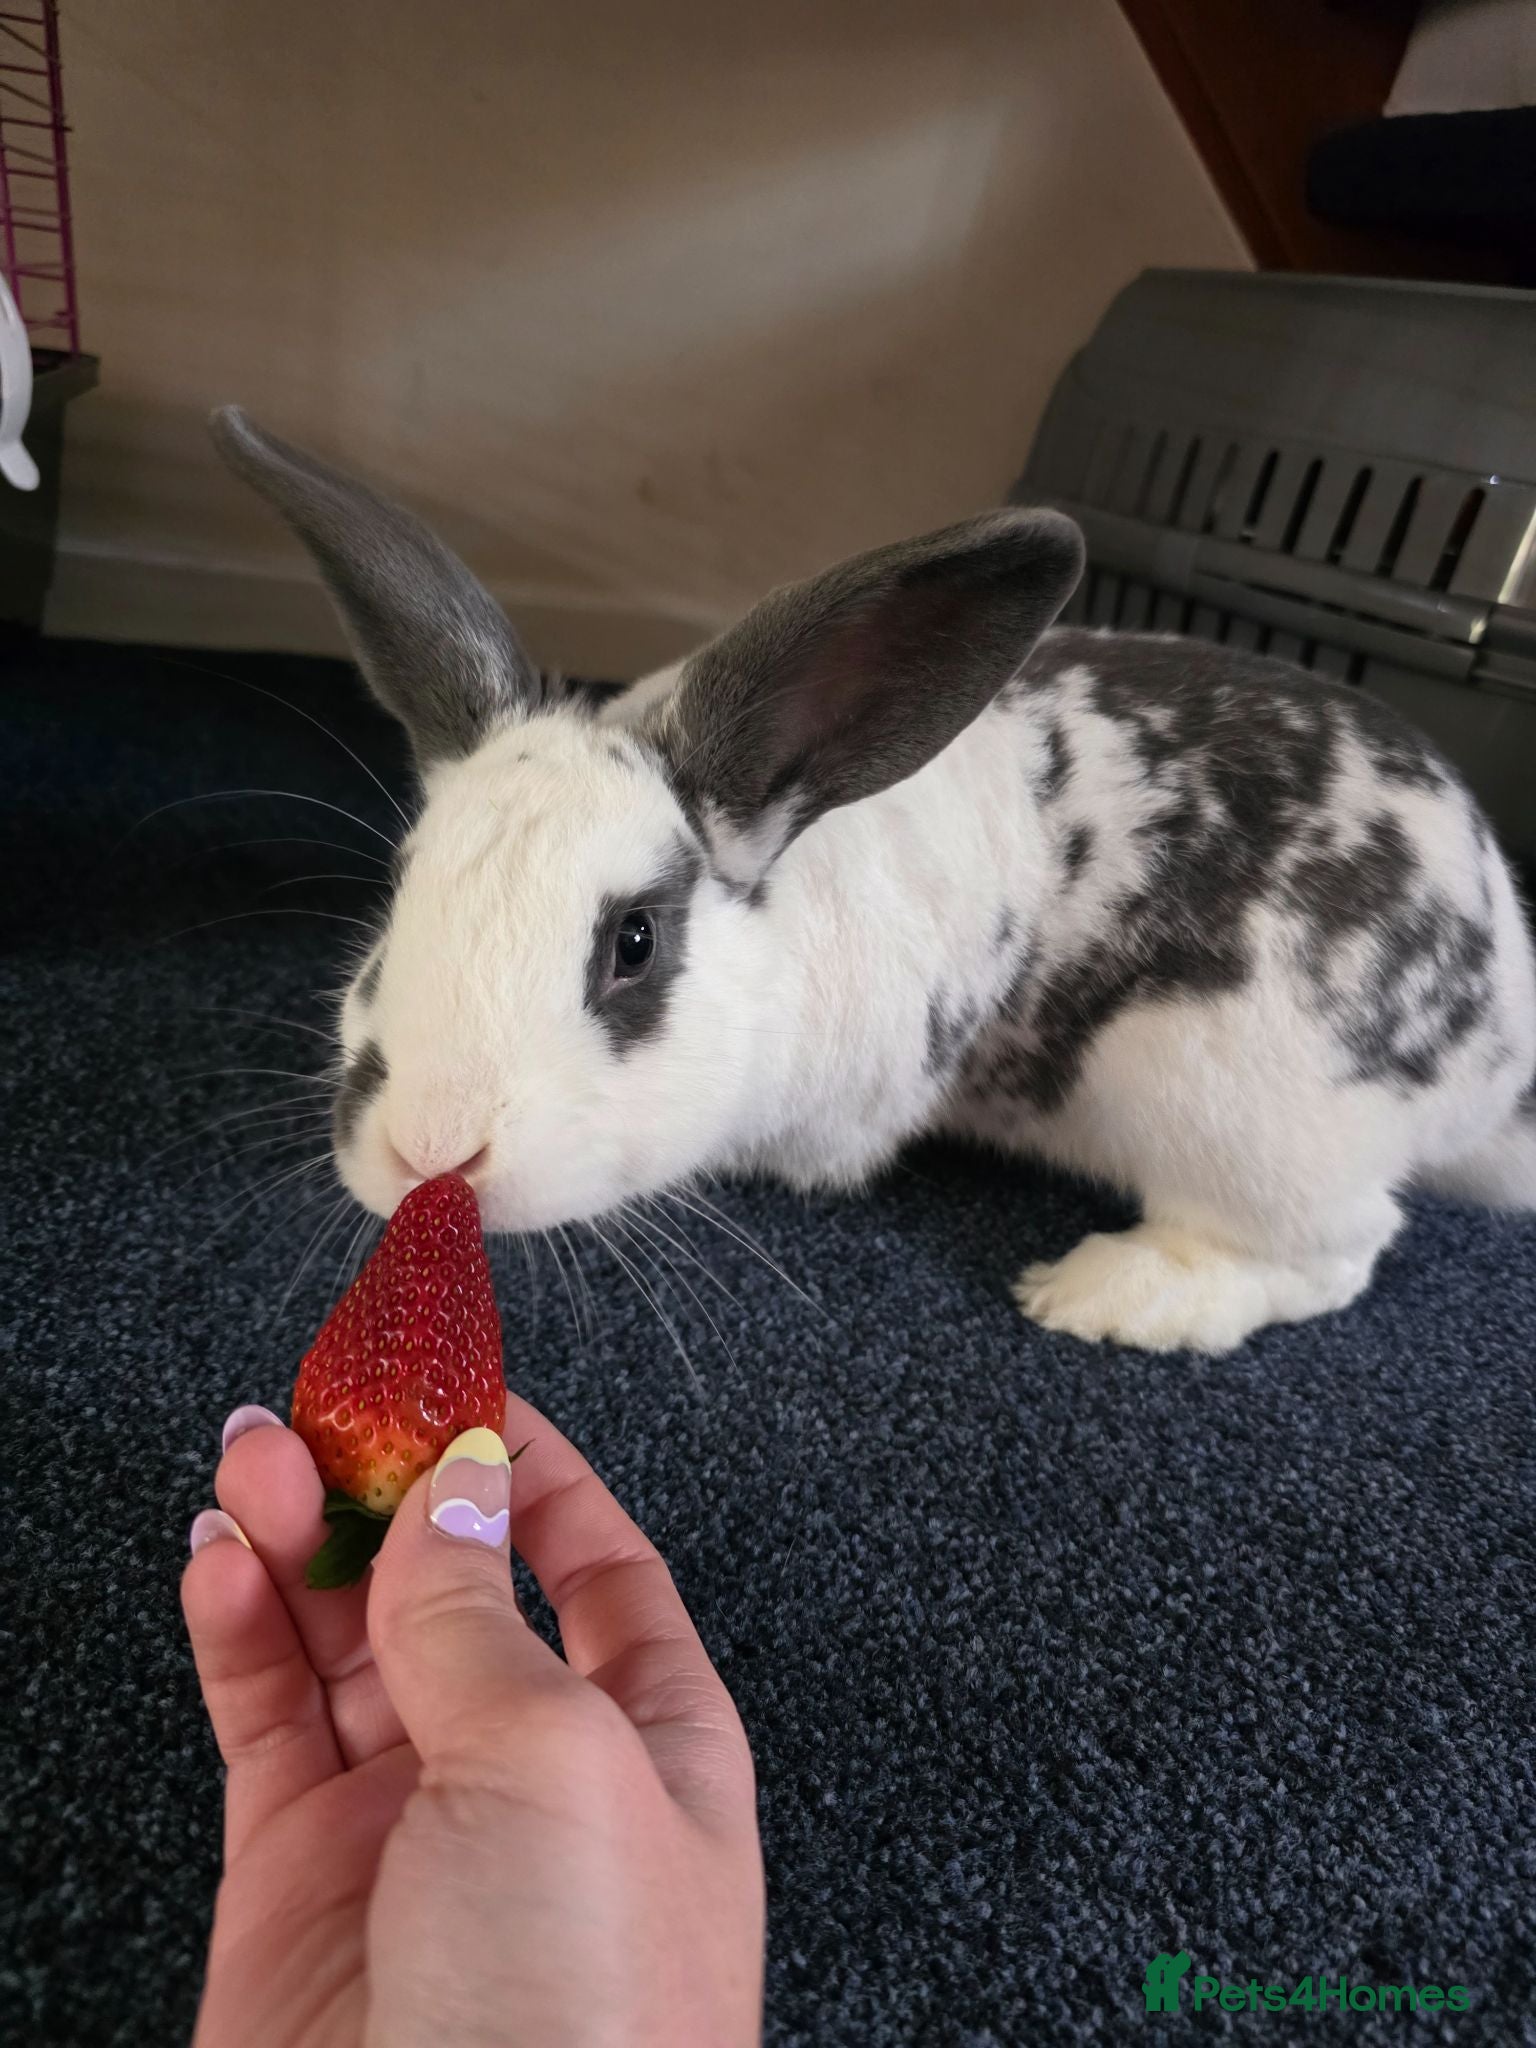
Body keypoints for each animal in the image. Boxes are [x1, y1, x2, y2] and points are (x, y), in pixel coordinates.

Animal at [211, 407, 1536, 1354]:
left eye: (634, 942)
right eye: (397, 900)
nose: (428, 1149)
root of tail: (1500, 1037)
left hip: (1226, 1104)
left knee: (1338, 1246)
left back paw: (1110, 1294)